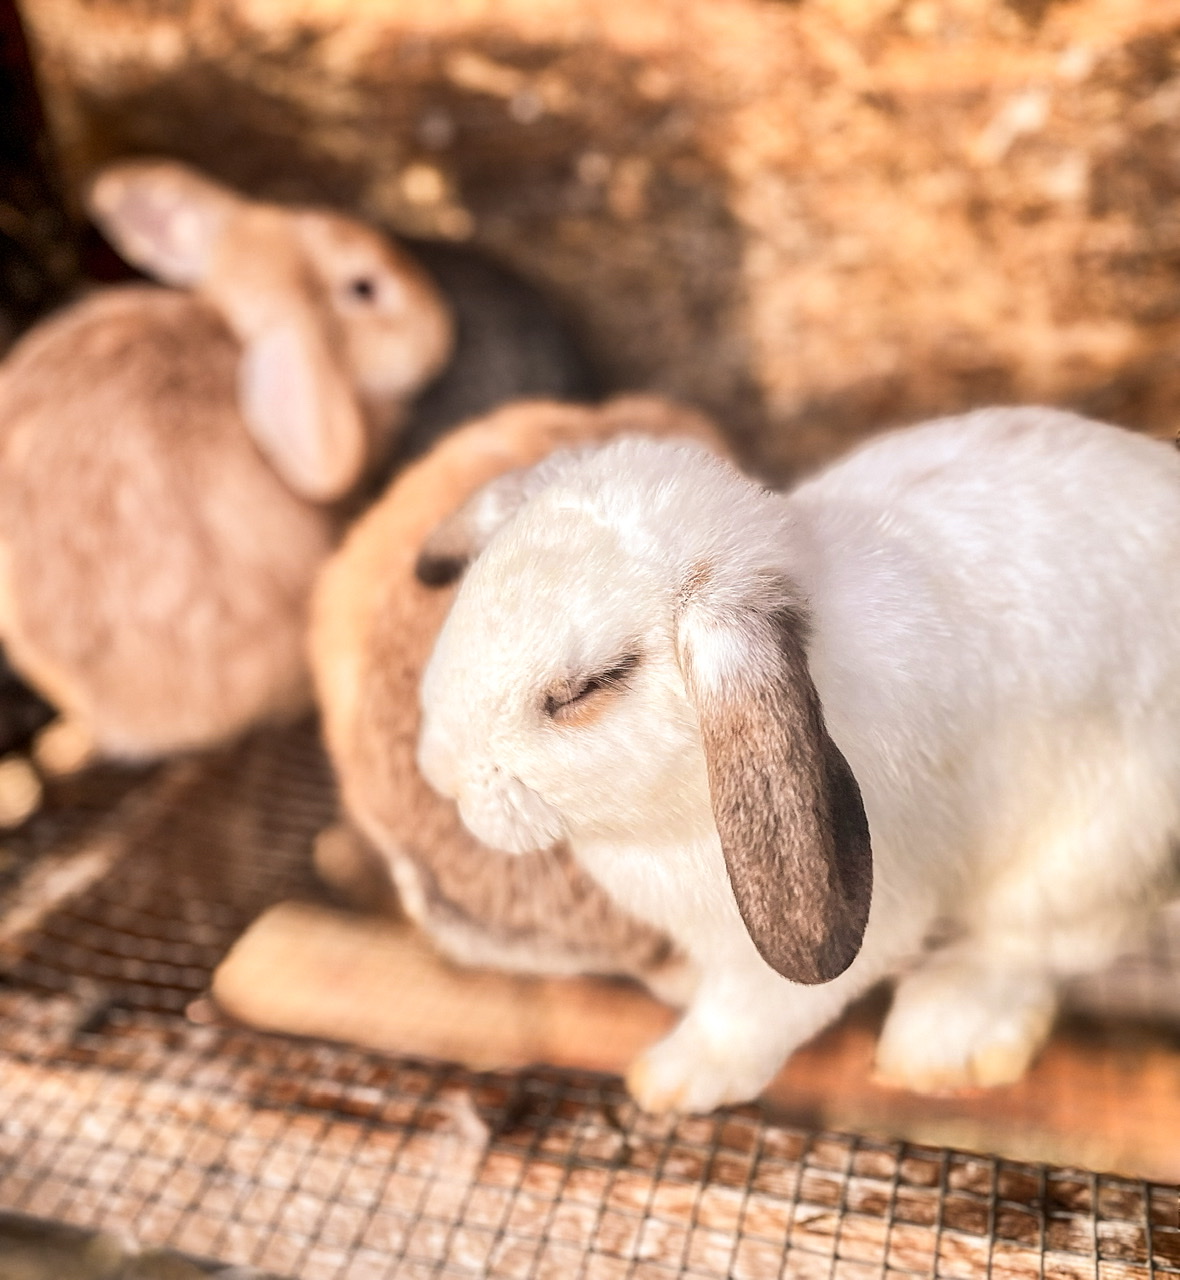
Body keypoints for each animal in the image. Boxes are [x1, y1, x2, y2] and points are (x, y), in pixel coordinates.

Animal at [417, 406, 1180, 1113]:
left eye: (588, 687)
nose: (441, 771)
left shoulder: (861, 917)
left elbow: (753, 1012)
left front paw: (673, 1080)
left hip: (1092, 853)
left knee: (1037, 944)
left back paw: (939, 1039)